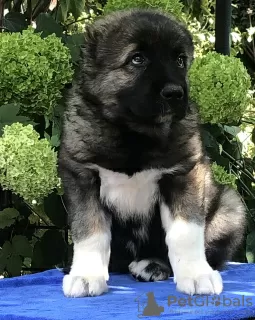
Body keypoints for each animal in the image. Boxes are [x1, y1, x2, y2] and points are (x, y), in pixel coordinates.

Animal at [58, 8, 246, 298]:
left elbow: (186, 232)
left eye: (180, 60)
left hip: (230, 207)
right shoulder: (82, 175)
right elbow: (89, 231)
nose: (175, 93)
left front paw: (196, 275)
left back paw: (152, 265)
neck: (136, 134)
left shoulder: (183, 173)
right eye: (137, 59)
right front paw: (86, 276)